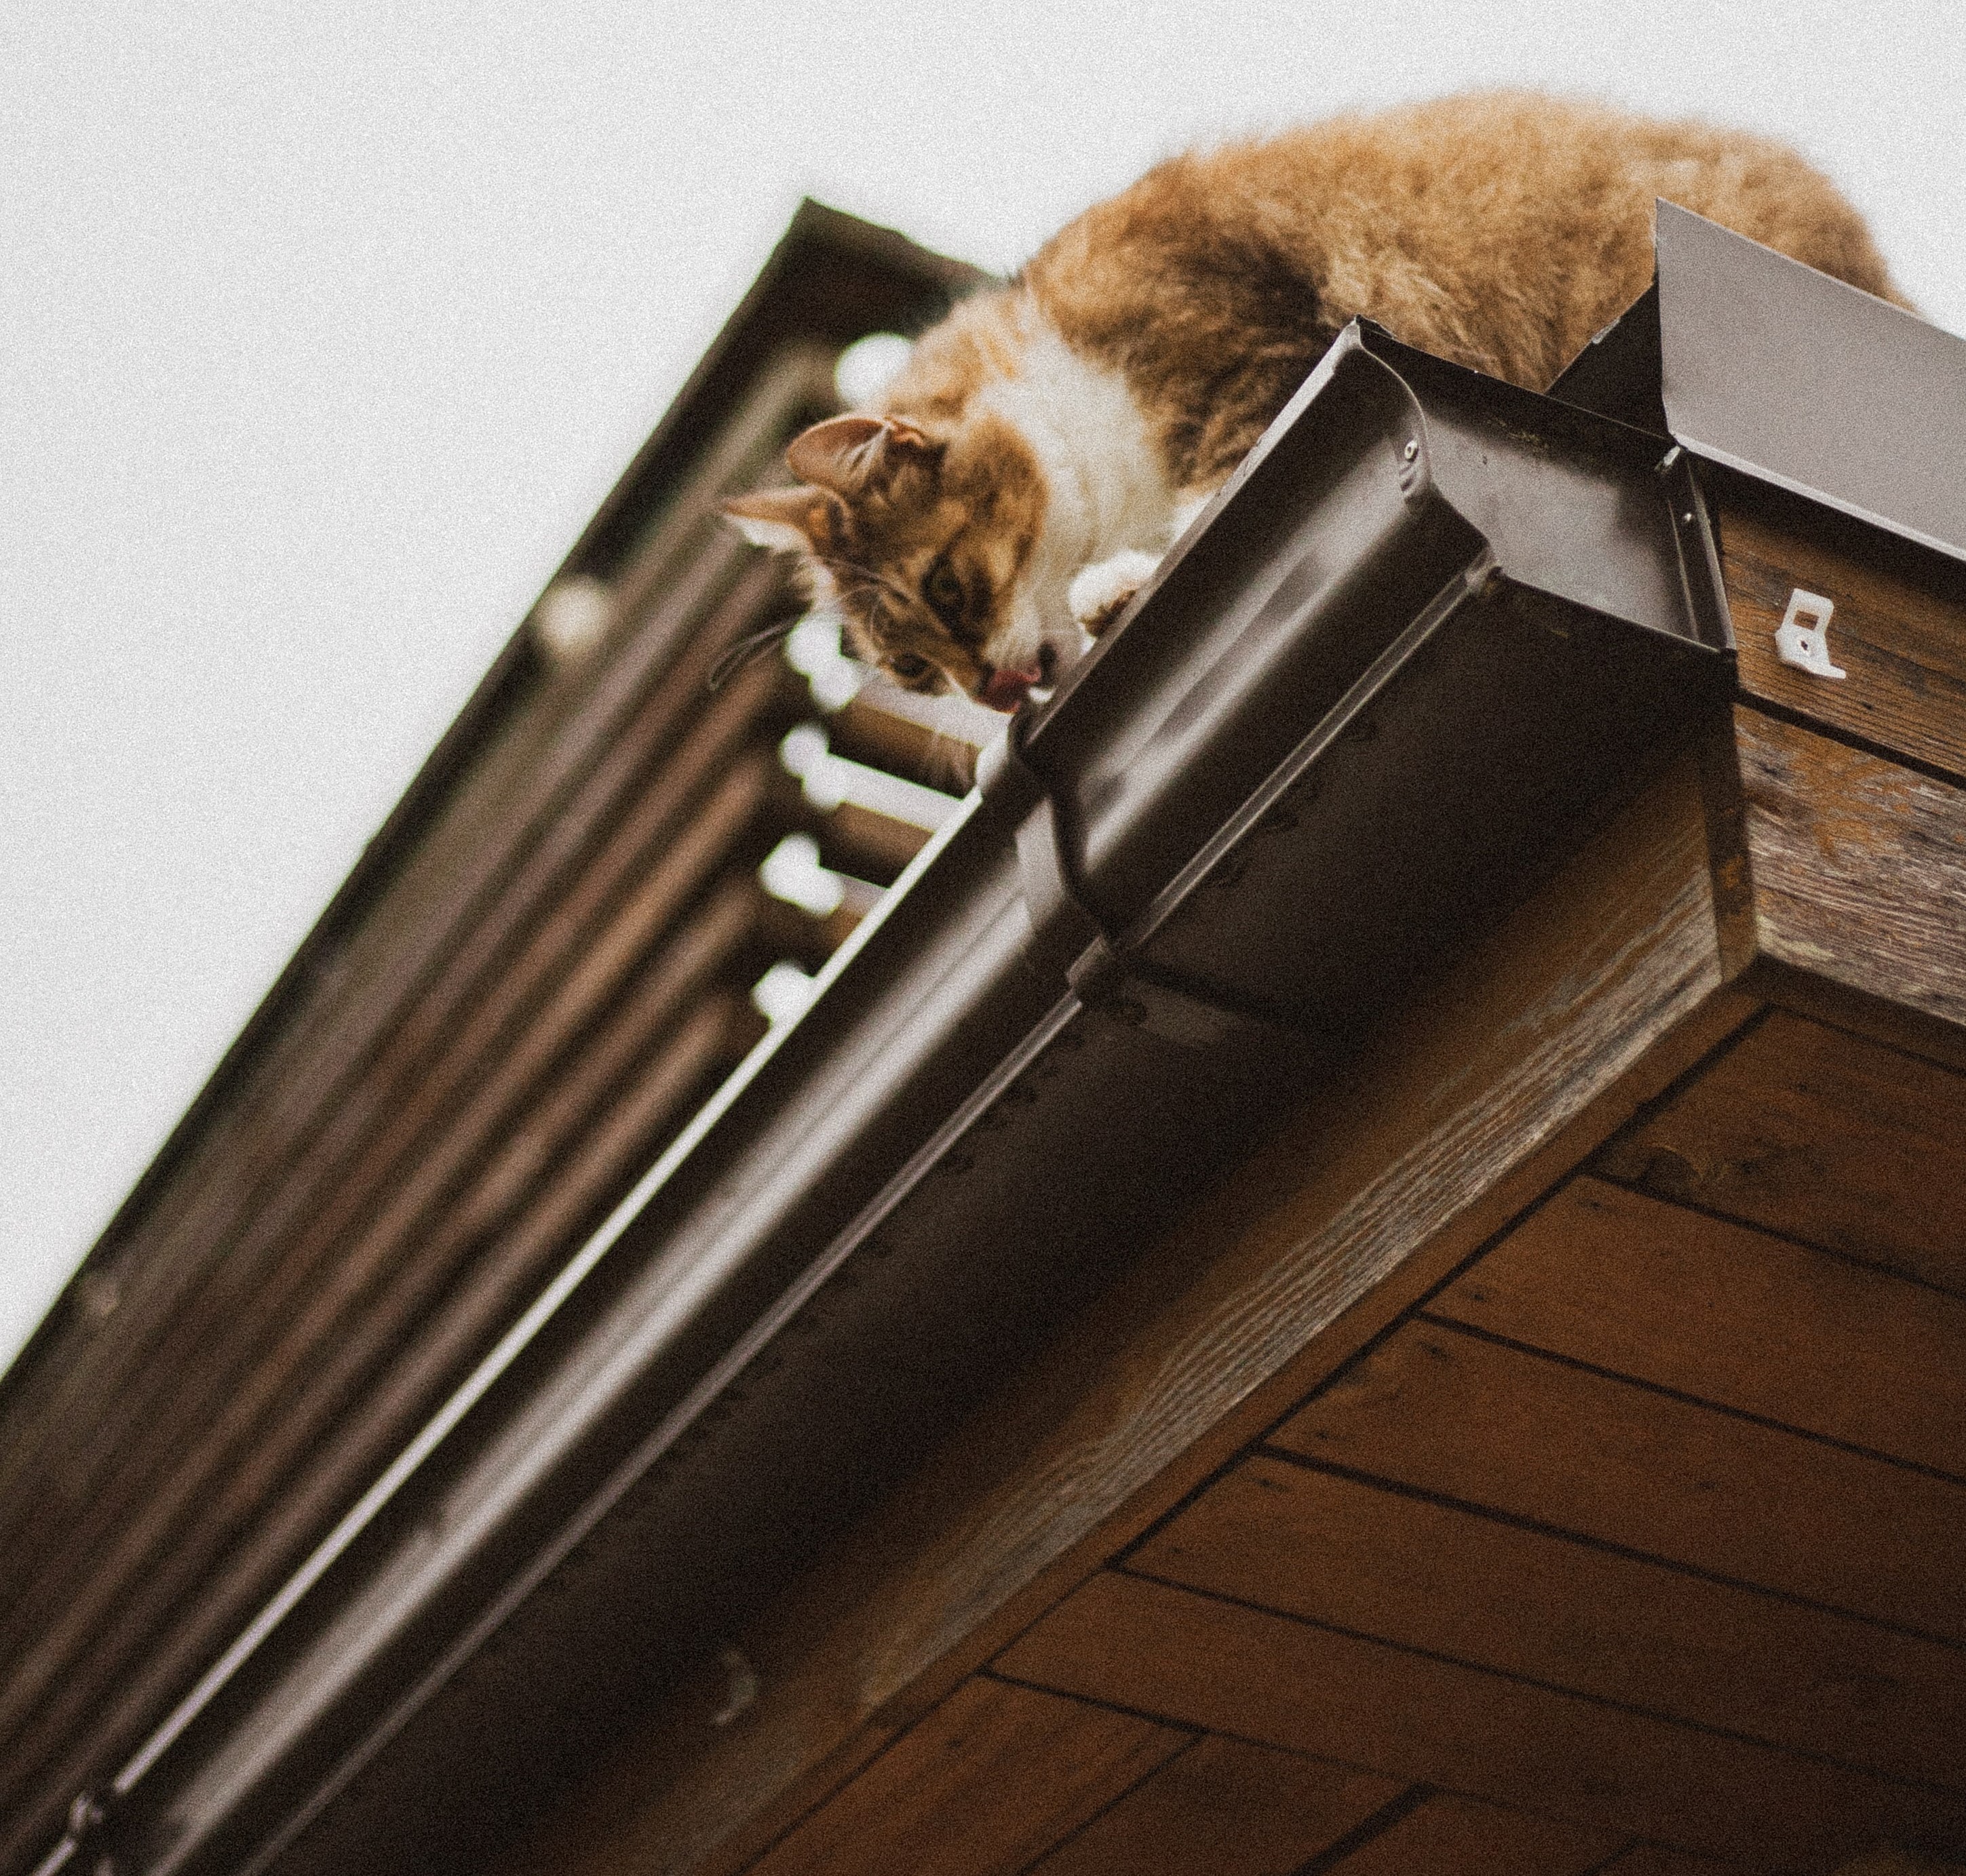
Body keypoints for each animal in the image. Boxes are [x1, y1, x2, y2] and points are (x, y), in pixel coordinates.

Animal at [727, 91, 1903, 711]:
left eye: (949, 588)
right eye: (913, 670)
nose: (993, 697)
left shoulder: (1248, 349)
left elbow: (1217, 486)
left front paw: (1122, 582)